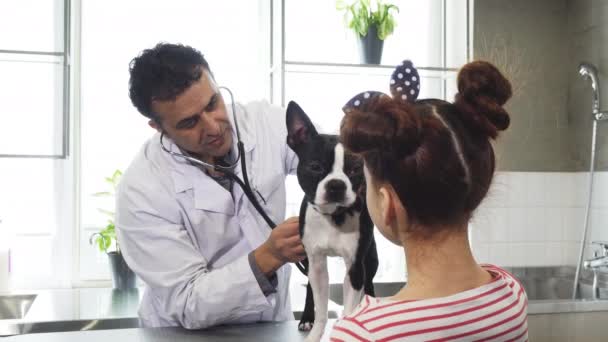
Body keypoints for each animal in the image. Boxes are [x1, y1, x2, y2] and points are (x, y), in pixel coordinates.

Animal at [286, 101, 380, 342]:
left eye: (355, 170)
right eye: (315, 167)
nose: (336, 184)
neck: (333, 216)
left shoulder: (355, 266)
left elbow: (349, 307)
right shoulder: (316, 263)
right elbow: (320, 307)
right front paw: (314, 333)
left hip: (370, 258)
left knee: (369, 284)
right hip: (308, 261)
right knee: (310, 290)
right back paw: (306, 318)